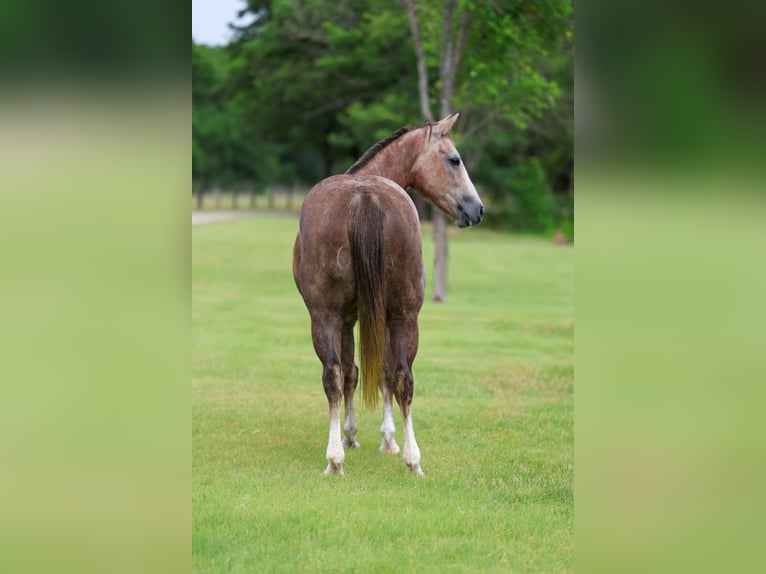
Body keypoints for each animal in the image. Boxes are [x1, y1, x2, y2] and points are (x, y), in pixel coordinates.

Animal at [292, 113, 484, 476]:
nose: (477, 209)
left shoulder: (347, 319)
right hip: (403, 315)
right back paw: (412, 460)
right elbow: (373, 373)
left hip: (328, 316)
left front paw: (358, 436)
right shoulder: (366, 316)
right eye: (454, 159)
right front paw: (375, 438)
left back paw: (336, 459)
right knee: (401, 378)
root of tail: (365, 196)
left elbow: (356, 373)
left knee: (337, 375)